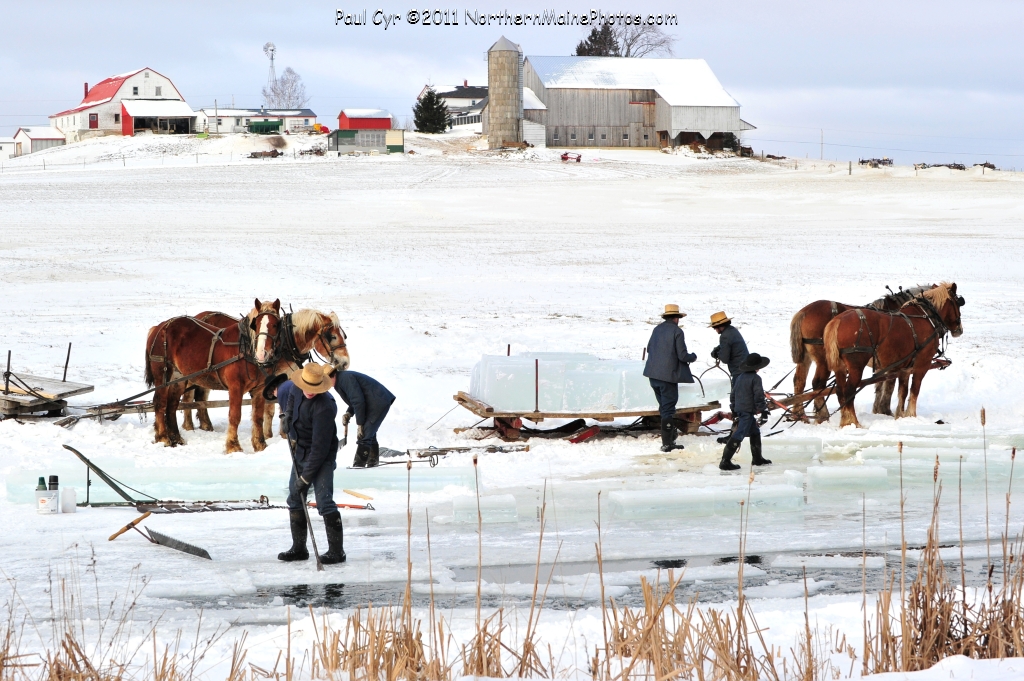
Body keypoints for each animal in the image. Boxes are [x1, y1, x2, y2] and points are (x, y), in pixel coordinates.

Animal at [144, 296, 280, 450]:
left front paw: (260, 445)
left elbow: (258, 417)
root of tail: (159, 327)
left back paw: (176, 438)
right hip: (162, 375)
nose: (262, 353)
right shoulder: (235, 387)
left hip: (179, 378)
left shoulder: (259, 389)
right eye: (255, 324)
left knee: (172, 405)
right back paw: (163, 438)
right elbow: (235, 416)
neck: (245, 349)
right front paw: (233, 446)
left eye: (276, 325)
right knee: (160, 403)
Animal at [786, 280, 937, 419]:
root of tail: (804, 312)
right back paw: (822, 414)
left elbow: (880, 384)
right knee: (817, 384)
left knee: (799, 381)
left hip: (806, 357)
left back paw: (799, 414)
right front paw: (884, 409)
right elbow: (889, 384)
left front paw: (878, 409)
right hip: (823, 359)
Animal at [819, 280, 962, 428]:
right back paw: (853, 422)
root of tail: (837, 320)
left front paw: (900, 415)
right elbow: (914, 390)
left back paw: (845, 421)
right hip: (856, 366)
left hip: (840, 367)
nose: (959, 329)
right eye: (959, 303)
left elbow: (902, 392)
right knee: (848, 391)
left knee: (840, 392)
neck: (926, 316)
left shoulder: (905, 368)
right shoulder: (922, 363)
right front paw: (911, 414)